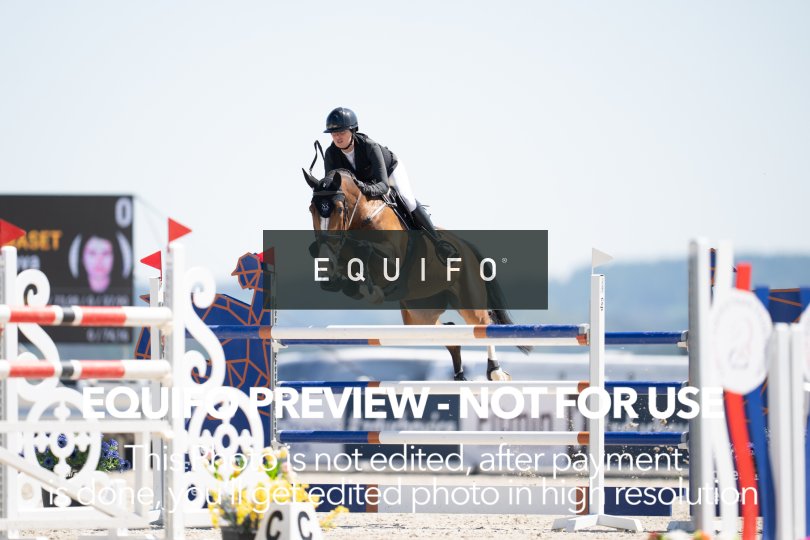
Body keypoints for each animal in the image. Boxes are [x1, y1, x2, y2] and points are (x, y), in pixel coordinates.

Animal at [302, 167, 531, 381]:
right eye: (311, 209)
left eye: (339, 209)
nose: (326, 253)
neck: (362, 215)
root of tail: (466, 247)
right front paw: (342, 282)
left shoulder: (392, 261)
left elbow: (365, 249)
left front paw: (370, 290)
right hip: (421, 311)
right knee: (447, 332)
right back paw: (459, 376)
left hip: (468, 297)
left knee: (483, 322)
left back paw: (495, 372)